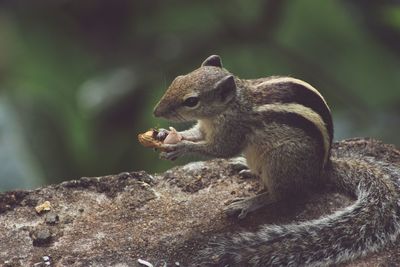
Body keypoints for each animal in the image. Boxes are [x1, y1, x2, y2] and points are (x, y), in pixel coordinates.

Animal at [152, 55, 400, 267]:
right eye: (177, 79)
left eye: (191, 101)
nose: (156, 112)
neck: (233, 104)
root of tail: (322, 170)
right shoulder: (205, 127)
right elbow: (195, 134)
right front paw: (166, 135)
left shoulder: (233, 129)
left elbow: (221, 149)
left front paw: (180, 146)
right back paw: (245, 167)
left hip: (280, 161)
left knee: (280, 195)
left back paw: (249, 202)